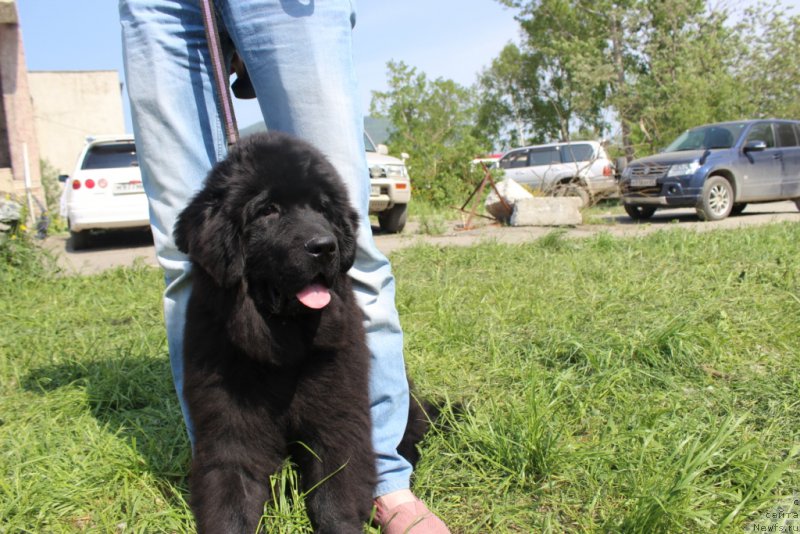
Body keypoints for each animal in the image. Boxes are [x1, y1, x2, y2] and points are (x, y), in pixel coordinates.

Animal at [176, 131, 390, 534]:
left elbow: (334, 493)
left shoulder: (338, 420)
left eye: (322, 209)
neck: (285, 351)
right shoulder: (231, 429)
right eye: (267, 211)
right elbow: (232, 501)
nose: (324, 247)